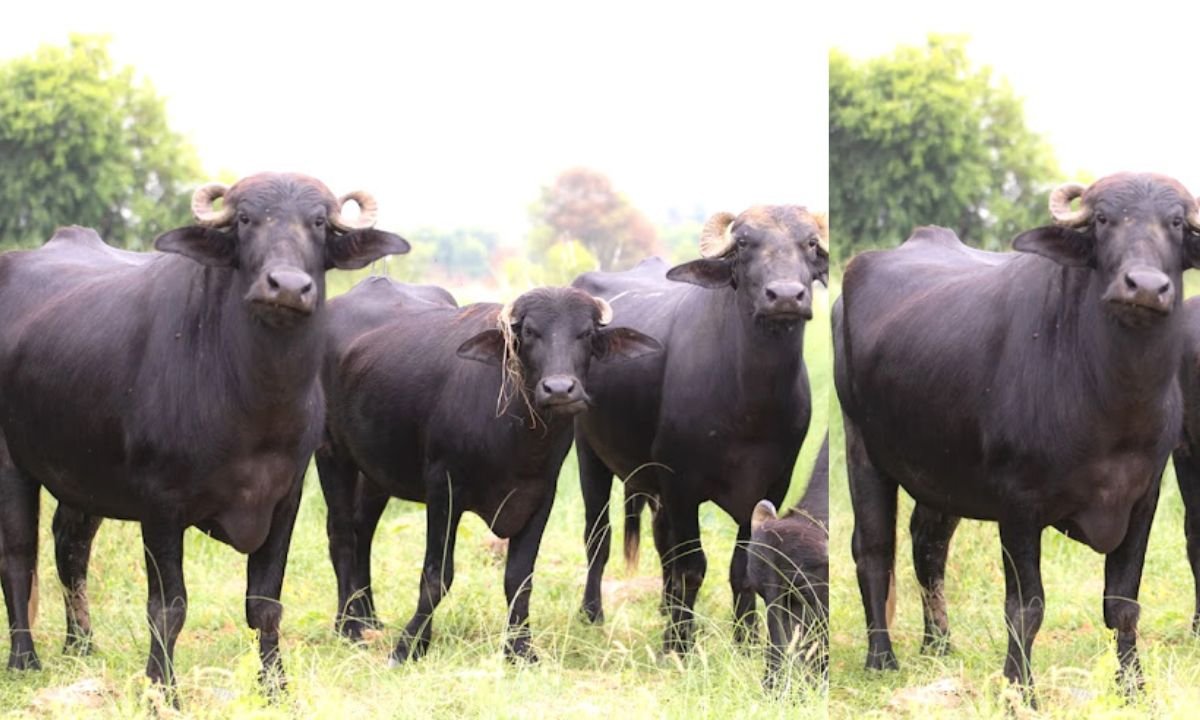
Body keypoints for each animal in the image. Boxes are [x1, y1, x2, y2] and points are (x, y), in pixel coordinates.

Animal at [0, 173, 409, 693]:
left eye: (318, 222)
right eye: (245, 219)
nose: (286, 286)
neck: (253, 405)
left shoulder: (285, 499)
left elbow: (265, 604)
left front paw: (275, 685)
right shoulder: (160, 507)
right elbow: (167, 607)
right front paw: (163, 689)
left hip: (81, 475)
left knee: (70, 546)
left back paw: (81, 645)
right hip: (11, 462)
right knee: (18, 556)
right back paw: (24, 659)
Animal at [317, 279, 660, 663]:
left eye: (585, 333)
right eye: (530, 332)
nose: (559, 389)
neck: (518, 435)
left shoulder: (539, 495)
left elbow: (519, 577)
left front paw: (521, 649)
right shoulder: (443, 489)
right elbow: (437, 575)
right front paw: (409, 646)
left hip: (375, 470)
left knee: (363, 530)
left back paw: (369, 618)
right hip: (332, 453)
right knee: (342, 535)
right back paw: (348, 626)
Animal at [573, 205, 828, 654]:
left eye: (811, 243)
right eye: (743, 244)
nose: (785, 296)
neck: (751, 405)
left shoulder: (770, 485)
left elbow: (741, 568)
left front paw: (746, 639)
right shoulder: (681, 485)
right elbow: (692, 565)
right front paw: (679, 643)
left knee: (661, 541)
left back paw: (665, 607)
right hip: (589, 451)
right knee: (598, 536)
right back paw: (594, 613)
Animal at [836, 173, 1200, 698]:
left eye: (1175, 223)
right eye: (1104, 220)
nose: (1145, 287)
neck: (1110, 401)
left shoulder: (1142, 498)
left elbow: (1123, 603)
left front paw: (1132, 685)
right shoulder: (1019, 507)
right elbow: (1026, 608)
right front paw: (1020, 689)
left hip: (942, 474)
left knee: (928, 545)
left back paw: (939, 644)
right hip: (862, 448)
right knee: (873, 549)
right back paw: (882, 658)